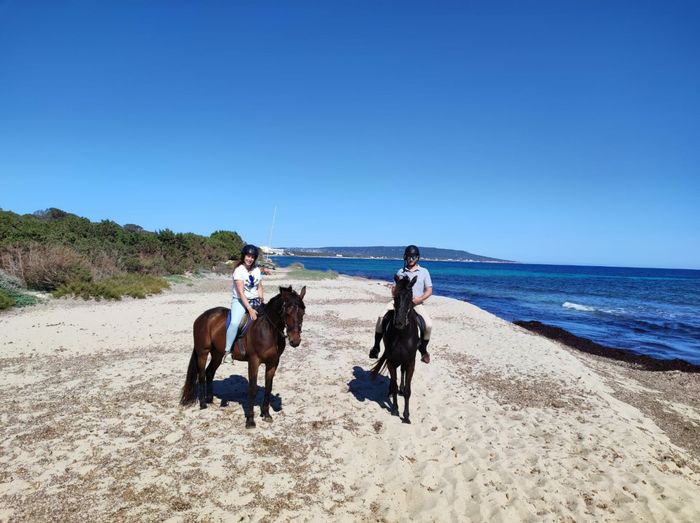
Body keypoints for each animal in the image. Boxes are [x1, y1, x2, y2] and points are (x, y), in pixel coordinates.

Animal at [179, 286, 304, 430]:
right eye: (287, 312)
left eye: (303, 312)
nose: (295, 341)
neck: (268, 330)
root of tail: (203, 316)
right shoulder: (254, 361)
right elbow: (252, 389)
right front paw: (250, 420)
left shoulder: (273, 363)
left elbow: (268, 387)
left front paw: (266, 414)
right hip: (202, 353)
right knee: (201, 375)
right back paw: (203, 403)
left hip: (217, 354)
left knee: (210, 372)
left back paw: (210, 399)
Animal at [372, 276, 422, 424]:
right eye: (395, 296)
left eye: (410, 296)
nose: (399, 322)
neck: (402, 335)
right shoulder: (391, 361)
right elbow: (393, 384)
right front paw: (394, 409)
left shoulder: (410, 362)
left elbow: (408, 390)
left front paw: (406, 415)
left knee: (403, 373)